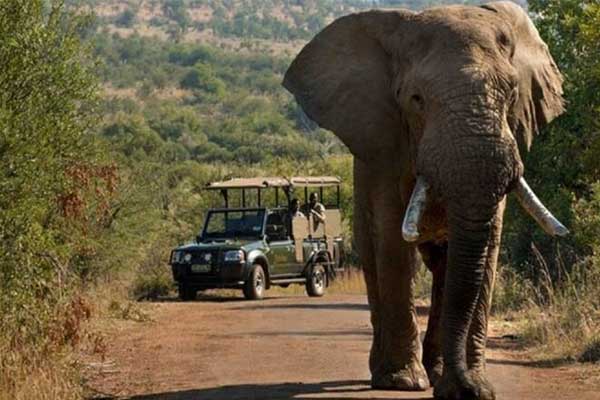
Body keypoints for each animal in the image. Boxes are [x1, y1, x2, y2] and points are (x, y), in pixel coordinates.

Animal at [284, 3, 568, 400]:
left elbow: (488, 247)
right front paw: (403, 382)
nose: (465, 389)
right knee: (376, 259)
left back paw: (436, 371)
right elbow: (393, 242)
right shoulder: (386, 147)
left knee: (444, 266)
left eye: (512, 93)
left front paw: (475, 388)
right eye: (416, 99)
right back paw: (390, 372)